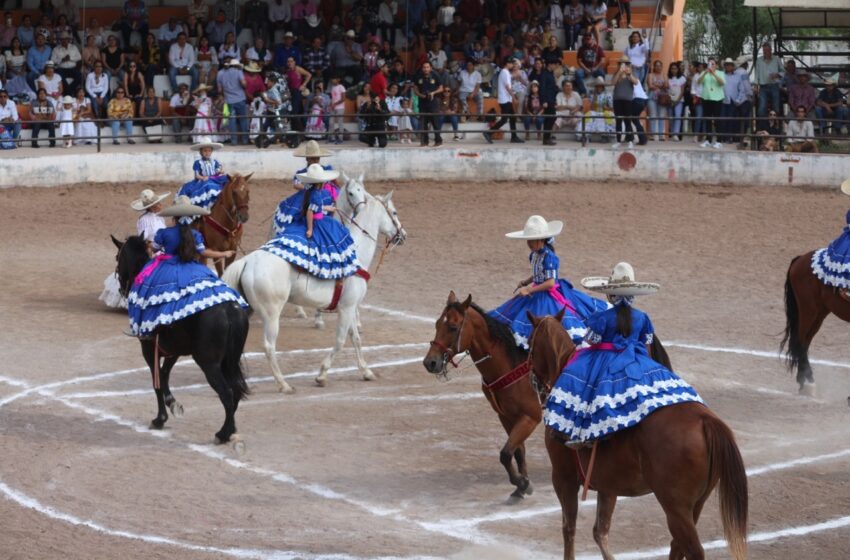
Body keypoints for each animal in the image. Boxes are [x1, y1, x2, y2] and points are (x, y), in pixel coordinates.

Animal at [111, 234, 248, 448]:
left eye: (118, 257)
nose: (121, 290)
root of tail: (229, 309)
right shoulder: (173, 349)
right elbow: (165, 374)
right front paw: (172, 403)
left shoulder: (148, 348)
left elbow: (157, 380)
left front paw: (160, 419)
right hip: (230, 362)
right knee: (235, 391)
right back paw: (230, 430)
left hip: (209, 364)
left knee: (227, 393)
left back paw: (222, 434)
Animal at [222, 173, 408, 392]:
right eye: (394, 212)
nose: (402, 235)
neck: (355, 253)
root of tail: (247, 261)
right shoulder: (346, 308)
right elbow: (340, 341)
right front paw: (322, 374)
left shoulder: (350, 307)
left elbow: (356, 339)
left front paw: (366, 372)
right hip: (271, 314)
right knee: (269, 346)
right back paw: (283, 384)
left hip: (247, 310)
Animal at [422, 290, 540, 500]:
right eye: (436, 324)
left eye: (453, 327)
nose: (430, 362)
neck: (513, 364)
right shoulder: (507, 416)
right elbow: (517, 451)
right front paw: (522, 485)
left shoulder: (531, 417)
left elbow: (505, 454)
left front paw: (521, 483)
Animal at [524, 310, 744, 560]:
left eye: (529, 341)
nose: (532, 380)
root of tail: (704, 420)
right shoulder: (607, 486)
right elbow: (600, 532)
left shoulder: (564, 478)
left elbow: (569, 529)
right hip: (696, 504)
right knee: (677, 545)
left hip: (675, 508)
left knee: (691, 549)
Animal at [780, 250, 848, 394]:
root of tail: (801, 258)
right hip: (808, 310)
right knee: (799, 342)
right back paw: (808, 384)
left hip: (820, 313)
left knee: (806, 342)